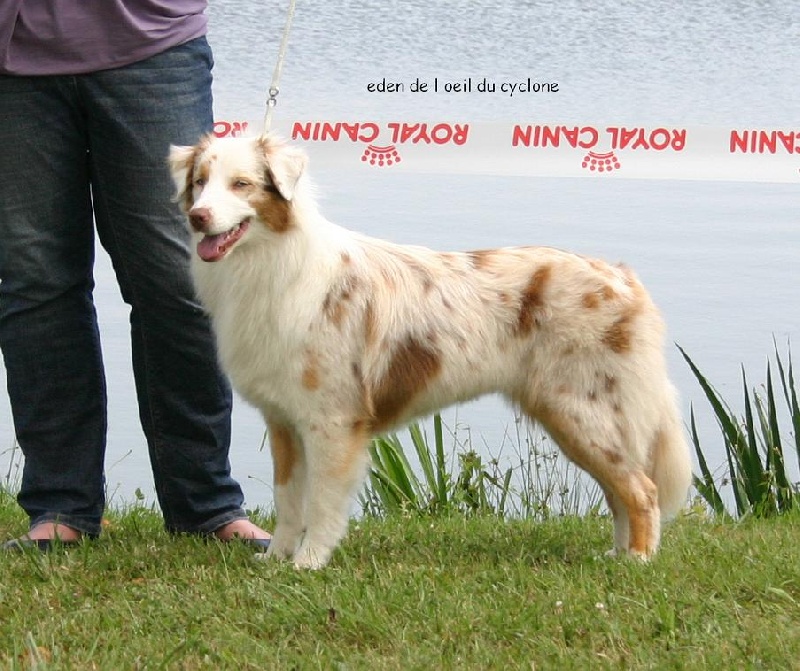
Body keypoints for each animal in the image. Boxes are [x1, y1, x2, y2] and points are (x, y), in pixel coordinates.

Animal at [170, 134, 692, 568]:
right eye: (199, 183)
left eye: (242, 184)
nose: (198, 217)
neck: (273, 265)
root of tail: (622, 277)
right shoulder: (283, 421)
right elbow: (288, 501)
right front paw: (276, 561)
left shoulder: (332, 422)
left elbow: (320, 503)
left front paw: (309, 564)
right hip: (576, 418)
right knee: (620, 491)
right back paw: (617, 556)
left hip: (583, 412)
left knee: (642, 490)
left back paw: (639, 562)